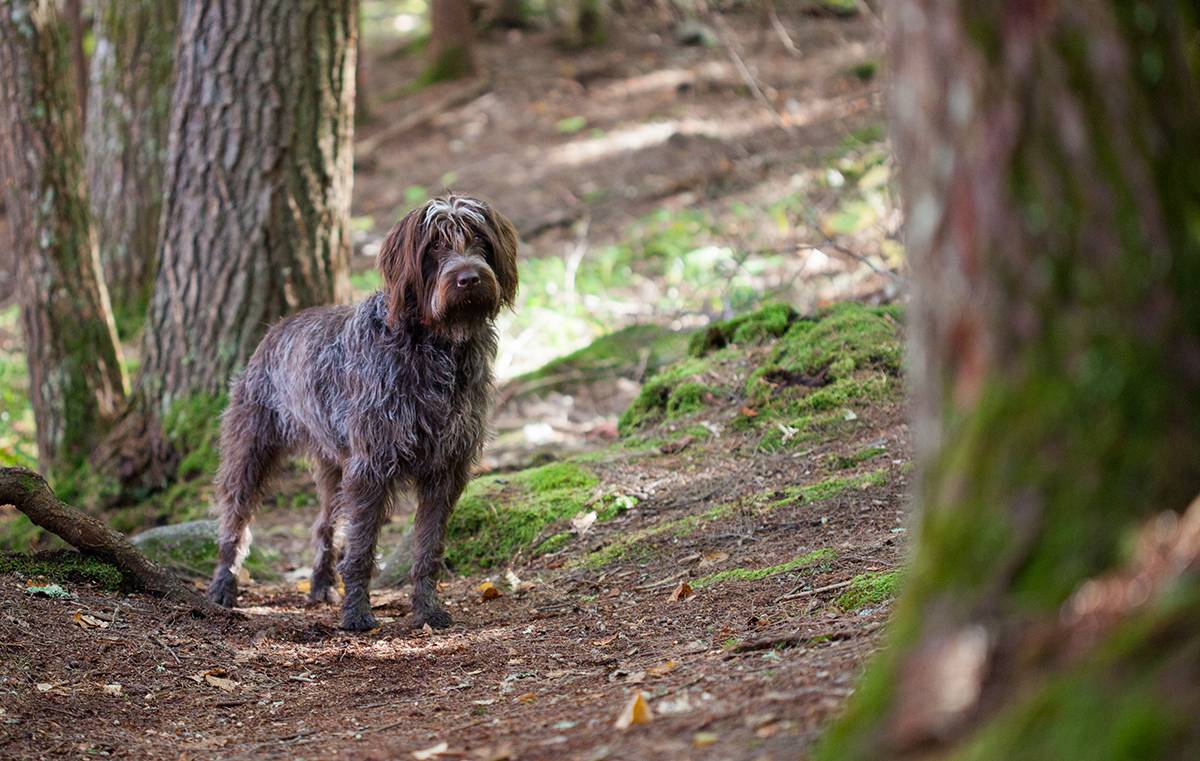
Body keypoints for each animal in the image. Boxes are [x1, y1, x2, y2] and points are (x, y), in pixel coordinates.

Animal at [206, 194, 516, 628]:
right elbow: (361, 550)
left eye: (479, 239)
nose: (469, 278)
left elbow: (428, 550)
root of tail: (277, 327)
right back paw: (223, 585)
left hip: (333, 467)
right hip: (251, 450)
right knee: (235, 521)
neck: (437, 347)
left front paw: (427, 608)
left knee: (324, 526)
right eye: (436, 245)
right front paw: (356, 613)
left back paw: (320, 586)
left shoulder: (446, 469)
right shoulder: (371, 467)